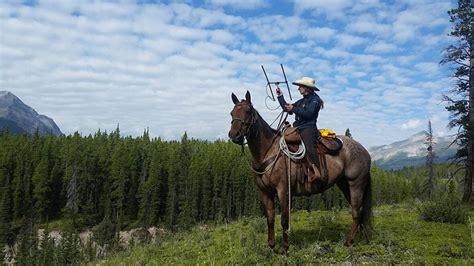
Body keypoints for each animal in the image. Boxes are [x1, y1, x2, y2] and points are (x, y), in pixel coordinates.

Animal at [228, 91, 372, 256]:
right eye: (232, 112)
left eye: (247, 111)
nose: (234, 135)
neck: (267, 151)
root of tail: (364, 151)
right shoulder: (264, 192)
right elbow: (270, 219)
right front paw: (271, 246)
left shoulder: (283, 191)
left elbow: (284, 220)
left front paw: (285, 248)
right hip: (344, 185)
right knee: (360, 211)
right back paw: (359, 238)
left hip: (356, 184)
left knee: (356, 212)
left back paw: (349, 242)